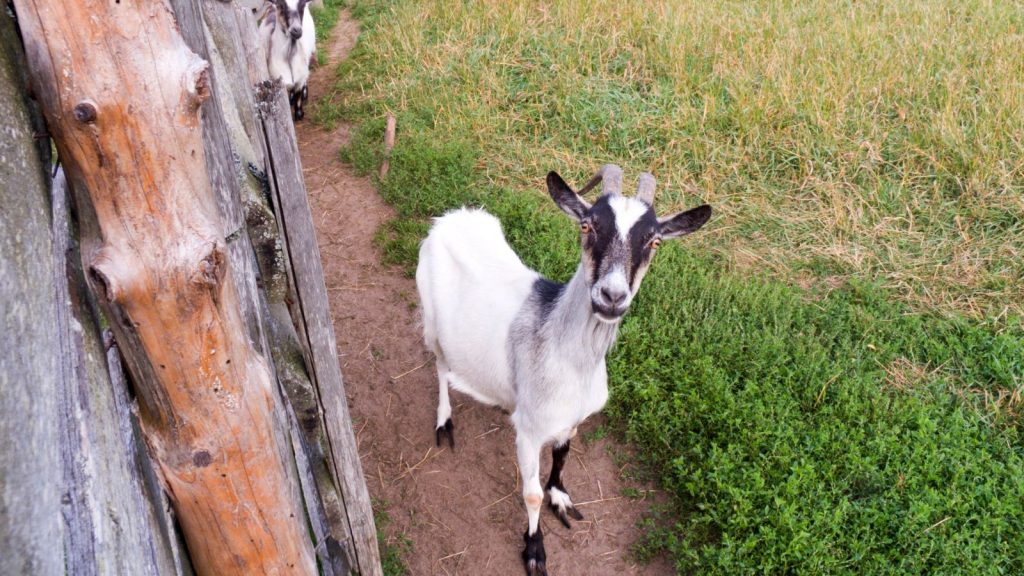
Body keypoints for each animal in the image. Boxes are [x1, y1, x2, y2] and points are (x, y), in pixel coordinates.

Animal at [416, 165, 712, 575]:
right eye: (587, 226)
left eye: (654, 242)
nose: (612, 297)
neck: (569, 358)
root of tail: (448, 218)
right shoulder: (529, 431)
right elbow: (531, 494)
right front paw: (534, 549)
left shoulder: (572, 418)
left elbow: (563, 456)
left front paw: (561, 497)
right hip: (432, 322)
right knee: (441, 364)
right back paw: (444, 421)